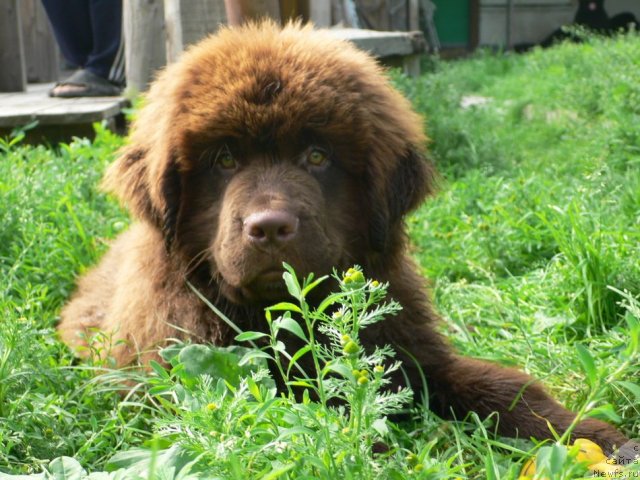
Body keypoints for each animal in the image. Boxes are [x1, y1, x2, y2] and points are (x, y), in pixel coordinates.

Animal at [57, 20, 628, 452]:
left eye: (317, 156)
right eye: (224, 160)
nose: (269, 227)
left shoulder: (410, 354)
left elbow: (504, 387)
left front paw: (599, 439)